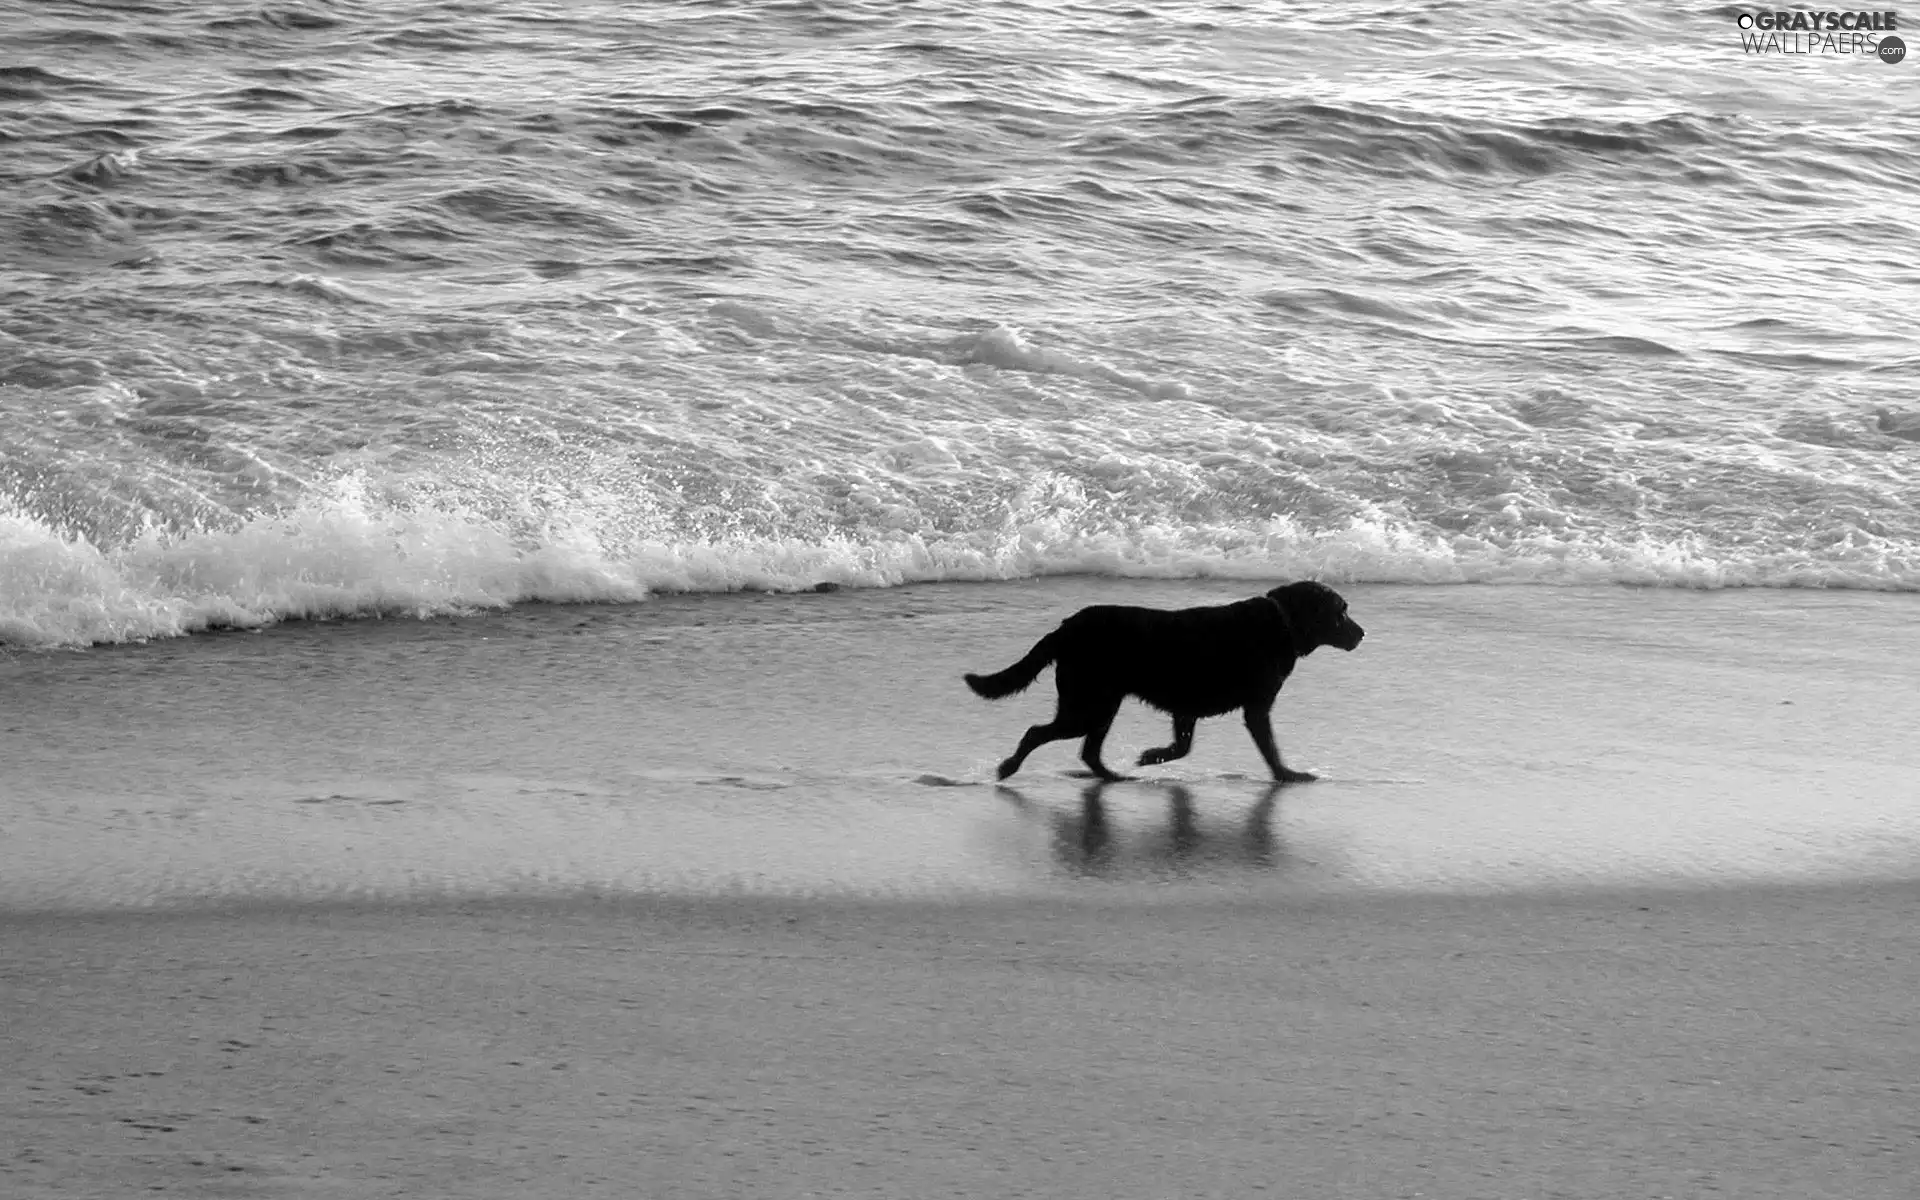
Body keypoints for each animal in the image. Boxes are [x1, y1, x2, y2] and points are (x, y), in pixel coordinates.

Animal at [960, 583, 1367, 787]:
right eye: (1341, 611)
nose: (1362, 633)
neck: (1282, 621)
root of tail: (1066, 627)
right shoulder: (1256, 709)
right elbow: (1270, 749)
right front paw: (1288, 775)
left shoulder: (1187, 707)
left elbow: (1182, 746)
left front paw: (1151, 756)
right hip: (1088, 703)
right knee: (1037, 733)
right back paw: (1008, 767)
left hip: (1102, 704)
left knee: (1089, 752)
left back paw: (1115, 776)